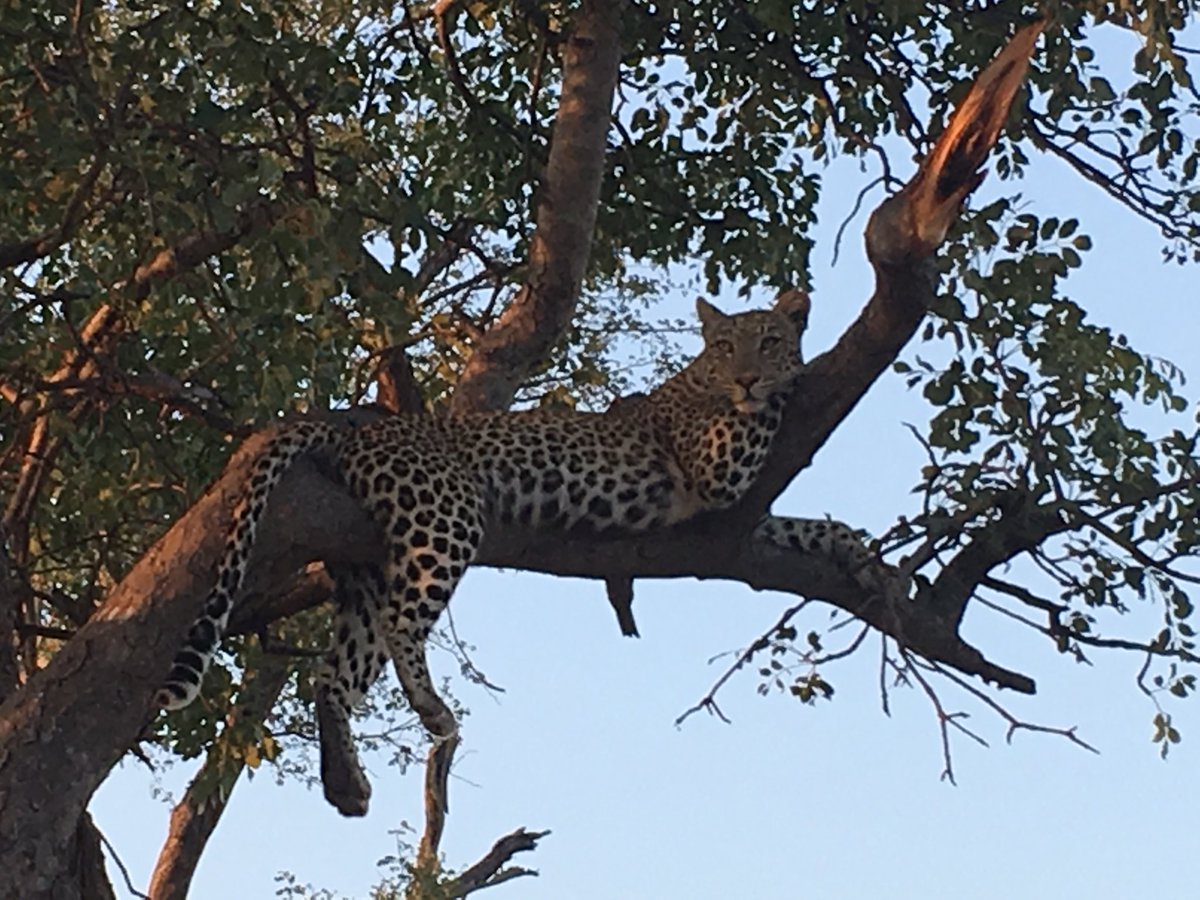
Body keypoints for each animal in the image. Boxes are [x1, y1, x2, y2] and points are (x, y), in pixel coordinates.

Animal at [156, 290, 896, 815]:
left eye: (768, 340)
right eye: (723, 346)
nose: (746, 379)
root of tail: (355, 428)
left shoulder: (741, 522)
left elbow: (808, 526)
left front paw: (864, 559)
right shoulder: (718, 470)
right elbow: (766, 431)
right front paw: (796, 381)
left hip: (362, 563)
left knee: (334, 673)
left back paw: (345, 782)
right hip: (444, 516)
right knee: (399, 624)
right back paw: (433, 712)